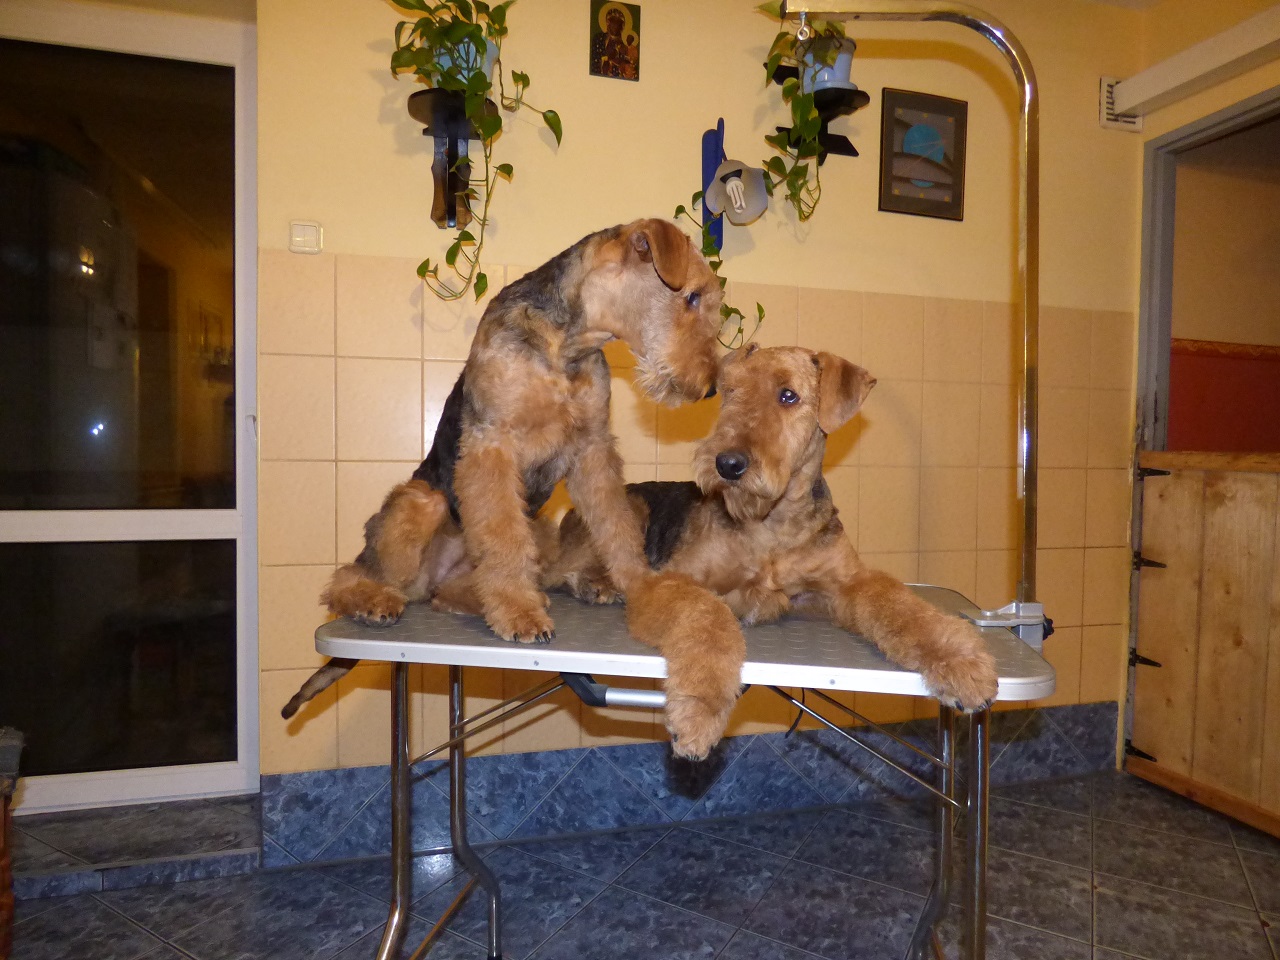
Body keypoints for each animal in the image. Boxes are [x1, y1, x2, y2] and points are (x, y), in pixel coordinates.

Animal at [286, 219, 746, 758]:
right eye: (691, 296)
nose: (709, 386)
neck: (567, 345)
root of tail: (431, 576)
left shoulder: (592, 449)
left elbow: (615, 525)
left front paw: (637, 583)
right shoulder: (494, 446)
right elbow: (503, 537)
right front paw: (520, 616)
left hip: (536, 528)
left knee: (457, 590)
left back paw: (562, 589)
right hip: (423, 503)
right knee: (354, 577)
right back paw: (383, 602)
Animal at [544, 344, 1000, 714]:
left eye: (788, 395)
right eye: (731, 391)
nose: (727, 464)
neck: (773, 525)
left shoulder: (846, 582)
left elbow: (902, 609)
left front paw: (965, 668)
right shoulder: (679, 579)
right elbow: (703, 612)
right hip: (627, 513)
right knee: (557, 570)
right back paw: (597, 585)